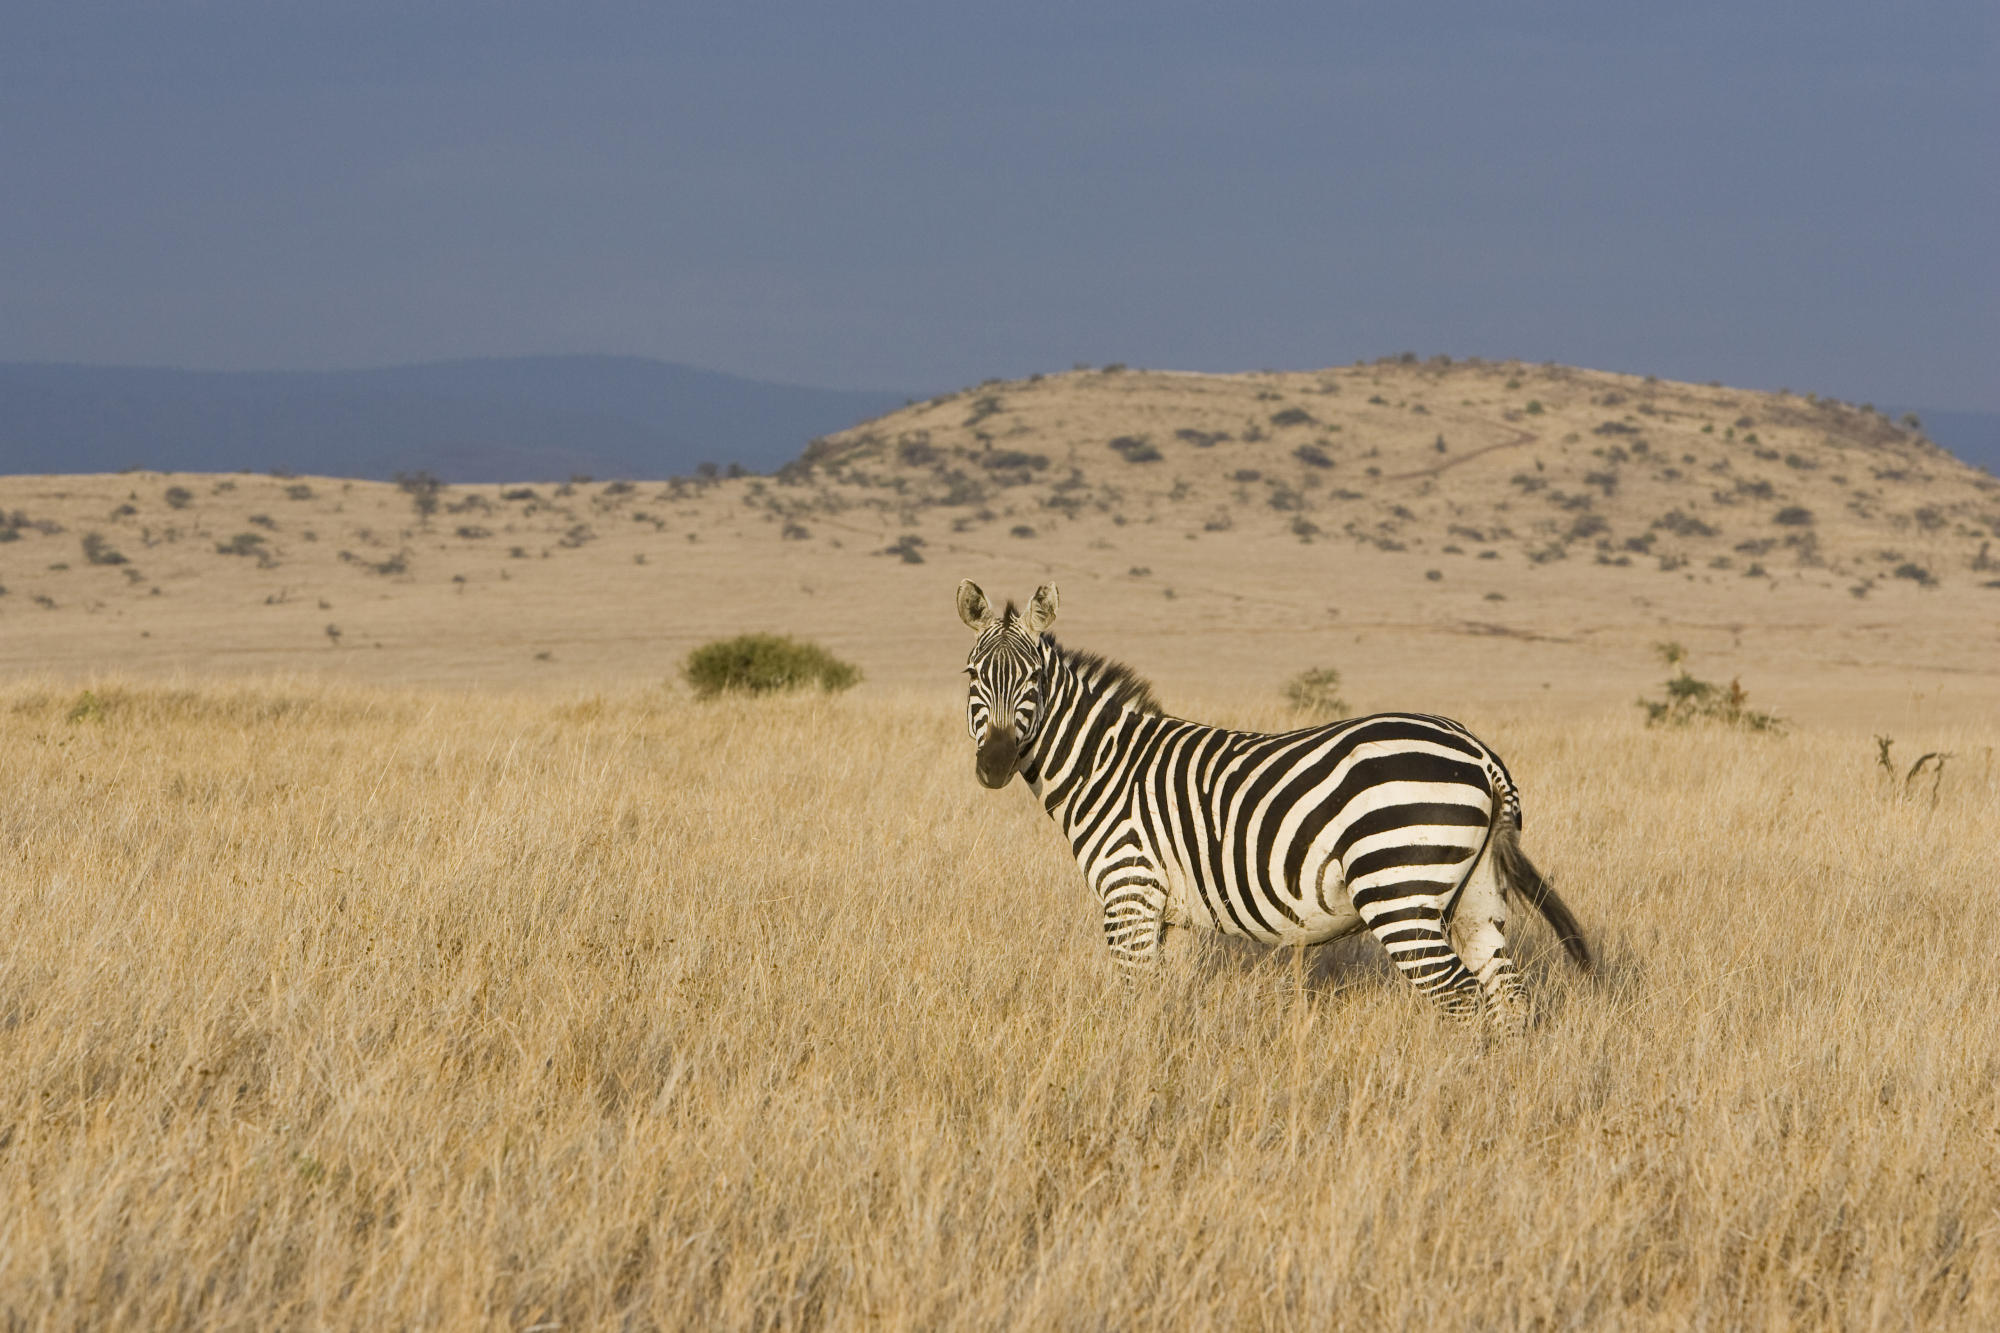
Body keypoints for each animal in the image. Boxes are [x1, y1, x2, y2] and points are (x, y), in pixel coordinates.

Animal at [956, 576, 1592, 1020]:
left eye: (1034, 680)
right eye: (972, 676)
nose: (994, 764)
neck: (1105, 765)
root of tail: (1479, 753)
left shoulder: (1128, 894)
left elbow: (1133, 998)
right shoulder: (1172, 913)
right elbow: (1164, 1000)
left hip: (1399, 887)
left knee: (1458, 996)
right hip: (1476, 893)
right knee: (1506, 996)